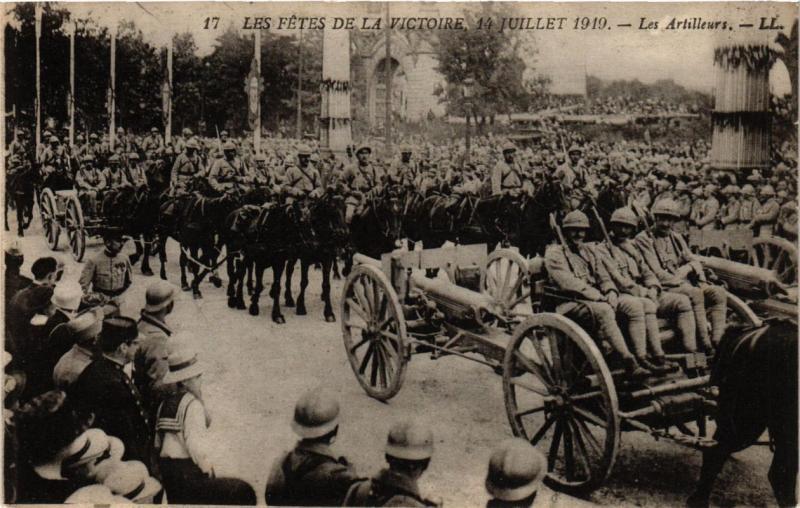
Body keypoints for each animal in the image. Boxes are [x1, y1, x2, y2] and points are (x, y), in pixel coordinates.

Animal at [282, 190, 348, 322]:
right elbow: (304, 282)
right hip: (293, 255)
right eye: (332, 208)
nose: (343, 234)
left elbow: (326, 285)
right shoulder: (305, 260)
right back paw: (289, 298)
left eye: (345, 208)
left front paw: (329, 312)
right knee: (289, 271)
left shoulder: (327, 260)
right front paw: (301, 306)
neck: (316, 232)